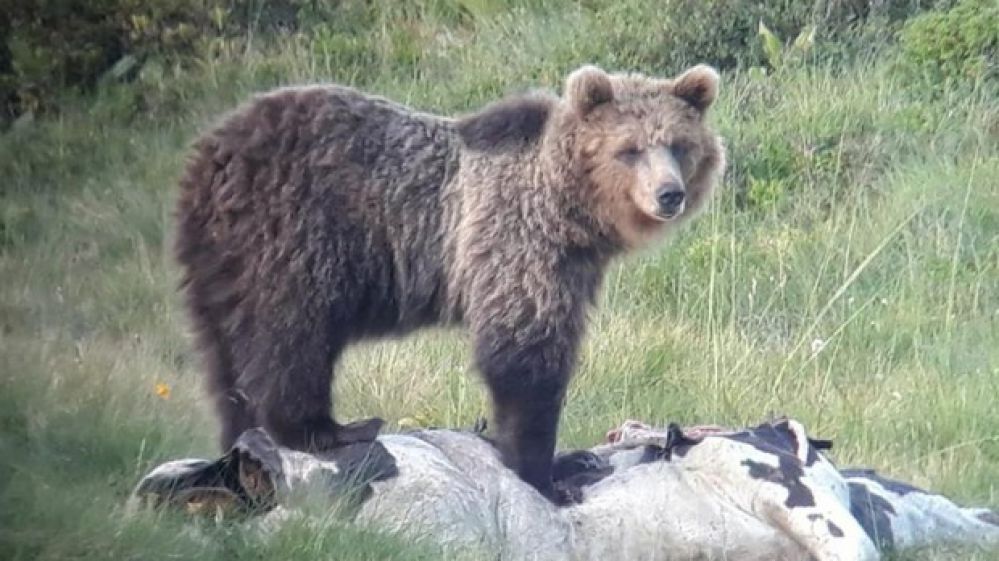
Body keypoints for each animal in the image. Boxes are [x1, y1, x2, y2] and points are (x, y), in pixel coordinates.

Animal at [174, 62, 728, 498]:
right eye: (630, 149)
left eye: (679, 145)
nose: (669, 194)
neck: (570, 210)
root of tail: (211, 154)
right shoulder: (516, 239)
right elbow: (524, 352)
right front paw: (544, 472)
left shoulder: (574, 264)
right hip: (296, 234)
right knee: (291, 333)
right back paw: (328, 429)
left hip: (220, 262)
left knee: (224, 355)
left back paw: (242, 435)